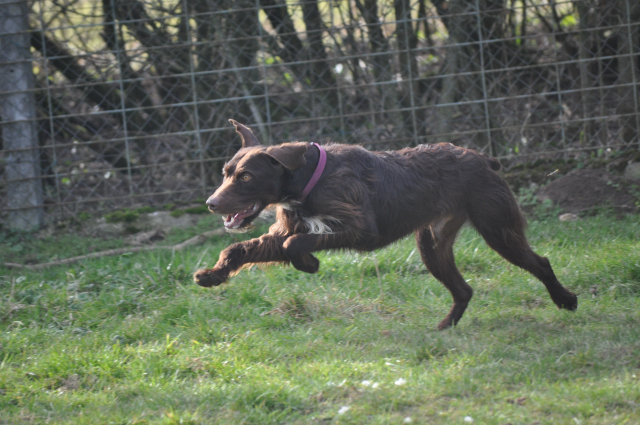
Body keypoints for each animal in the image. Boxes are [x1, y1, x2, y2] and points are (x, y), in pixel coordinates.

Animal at [192, 119, 576, 328]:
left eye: (246, 177)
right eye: (226, 173)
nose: (211, 203)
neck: (308, 181)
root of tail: (483, 158)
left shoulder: (362, 230)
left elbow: (295, 243)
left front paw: (309, 263)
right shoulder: (288, 228)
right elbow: (239, 248)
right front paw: (213, 275)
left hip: (497, 227)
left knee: (541, 262)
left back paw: (566, 300)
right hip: (432, 244)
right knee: (464, 290)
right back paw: (446, 327)